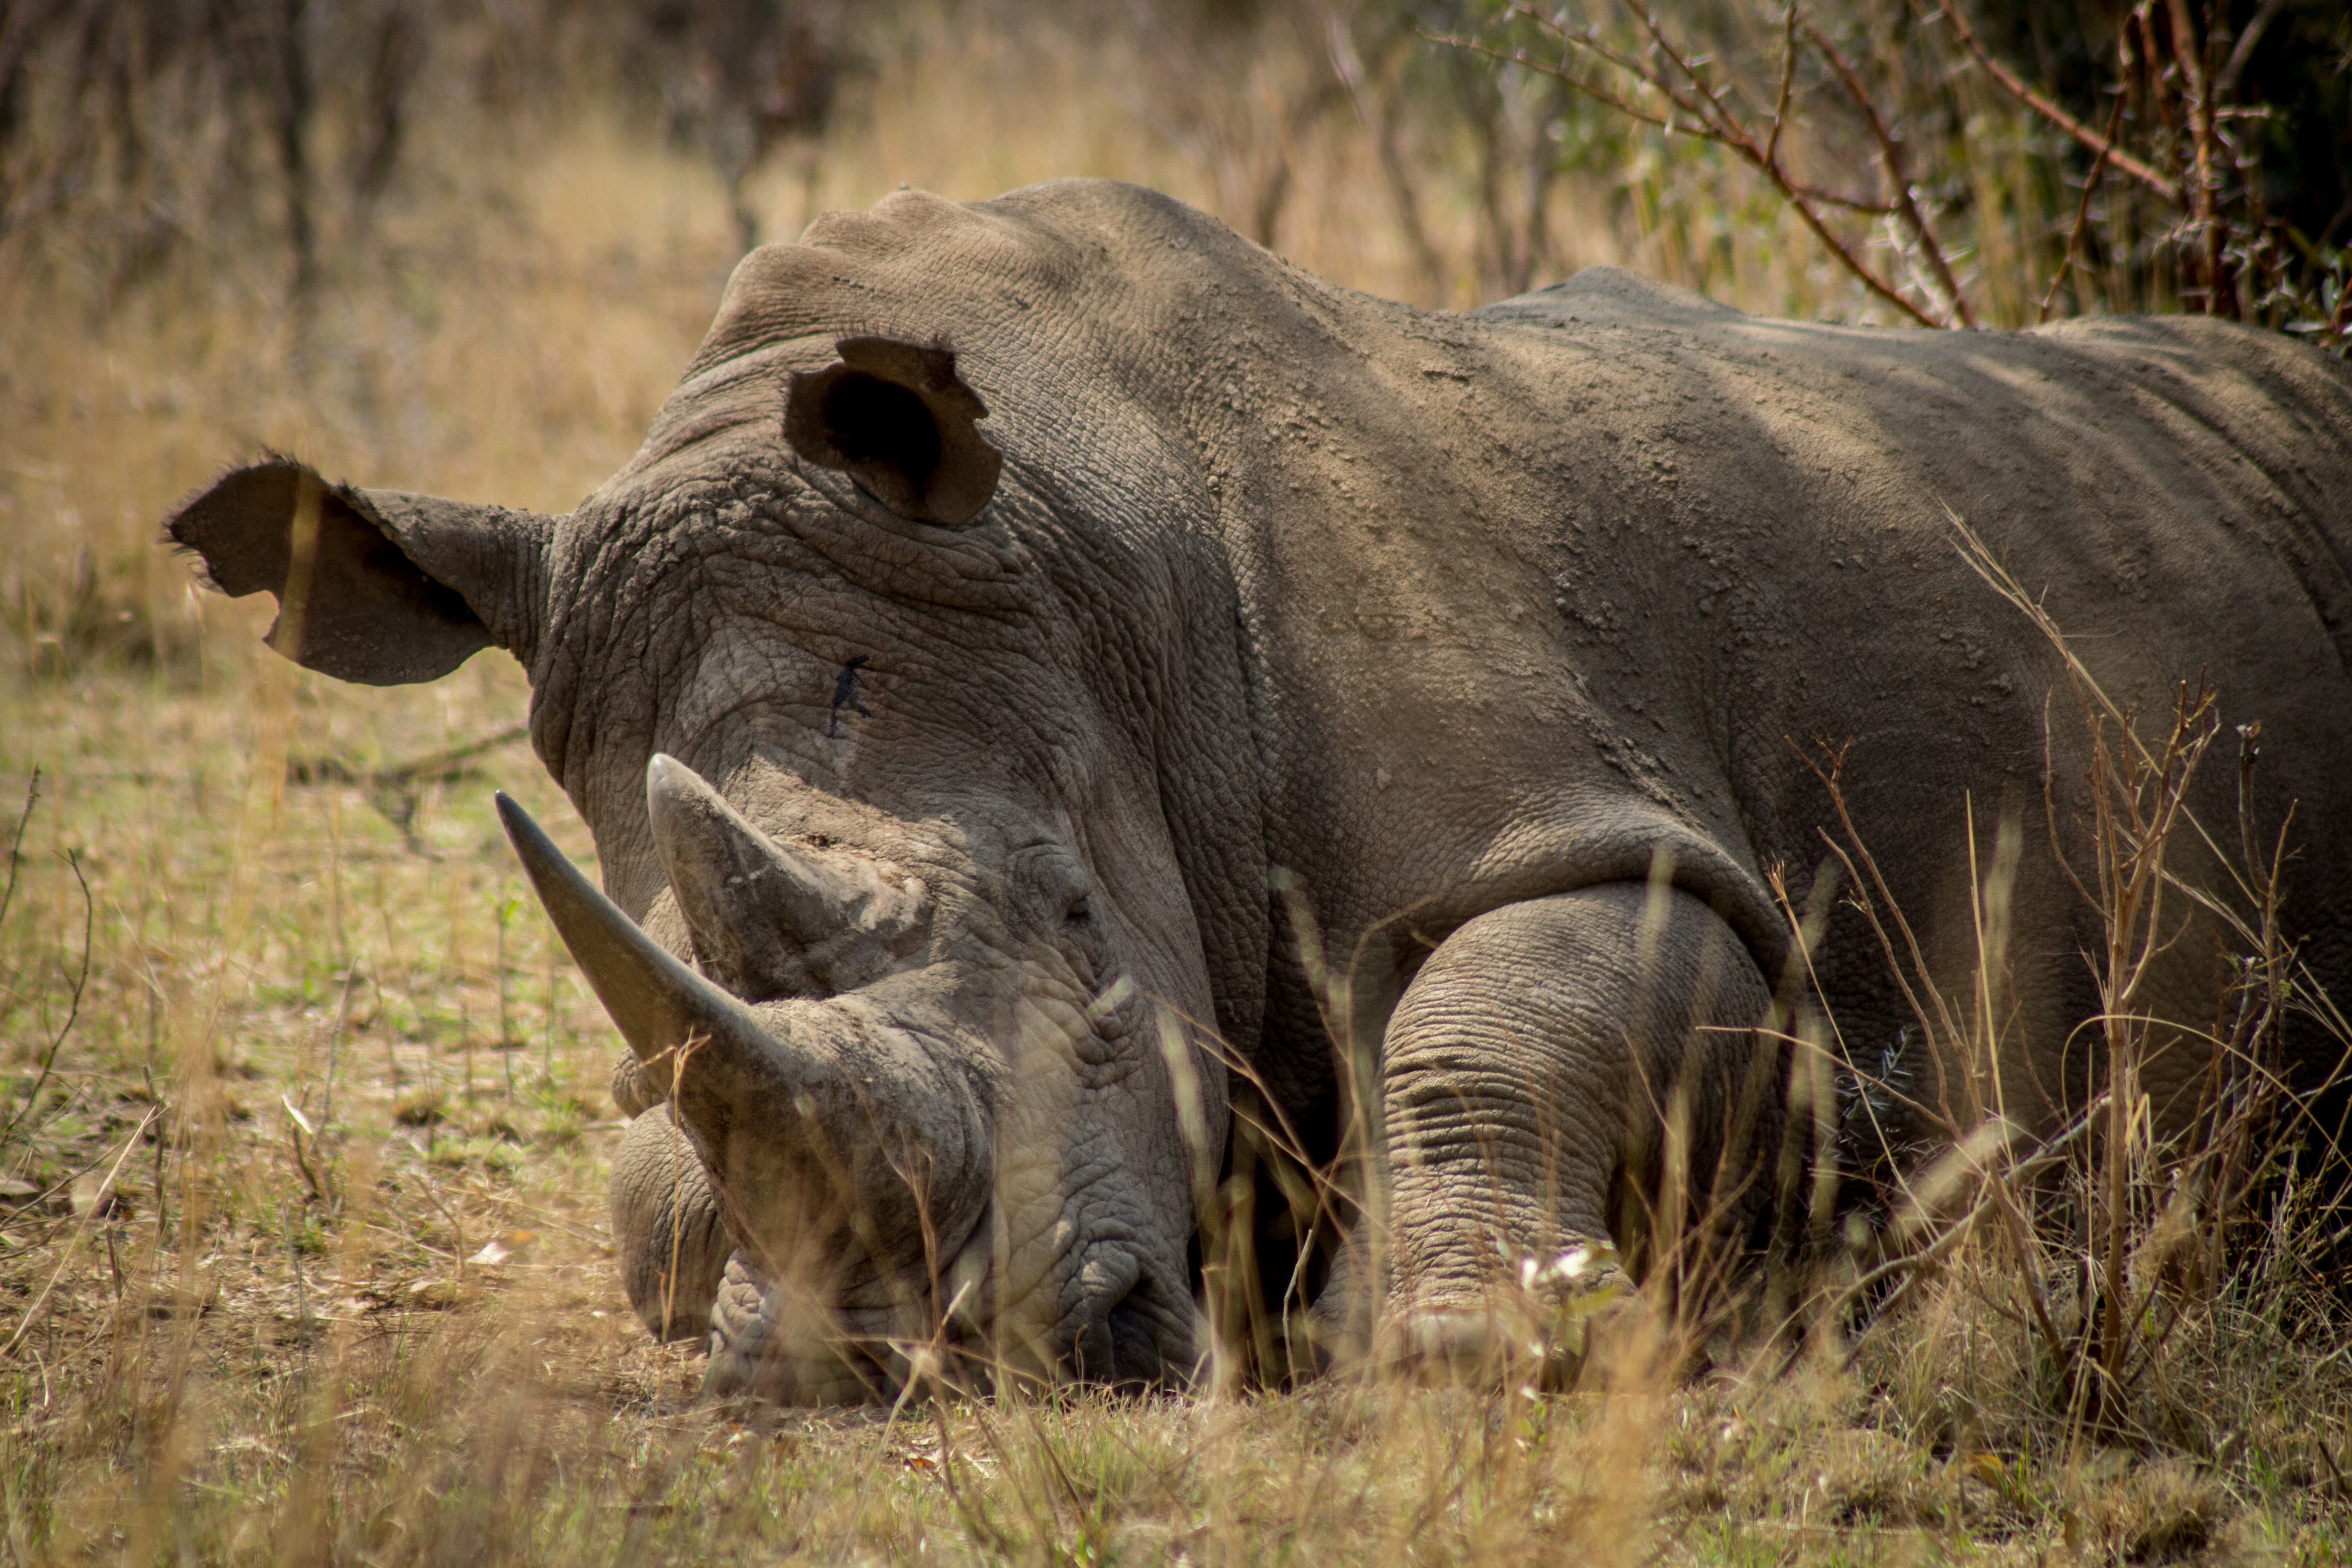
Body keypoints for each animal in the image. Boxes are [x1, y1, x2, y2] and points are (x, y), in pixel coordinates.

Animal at [167, 180, 2352, 1401]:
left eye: (1074, 921)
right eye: (633, 1055)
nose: (942, 1356)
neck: (1080, 541)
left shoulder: (1589, 817)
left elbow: (1495, 1012)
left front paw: (1471, 1348)